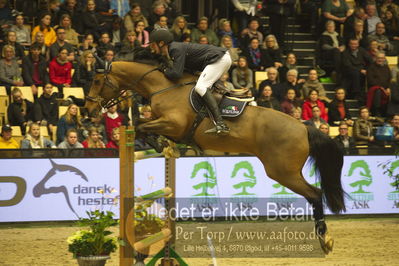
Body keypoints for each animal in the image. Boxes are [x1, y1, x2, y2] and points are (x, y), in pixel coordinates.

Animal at [85, 60, 346, 254]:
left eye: (97, 81)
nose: (89, 111)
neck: (164, 87)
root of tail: (303, 126)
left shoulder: (173, 124)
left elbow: (140, 124)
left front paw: (161, 144)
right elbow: (144, 126)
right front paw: (167, 146)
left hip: (283, 172)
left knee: (315, 194)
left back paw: (325, 240)